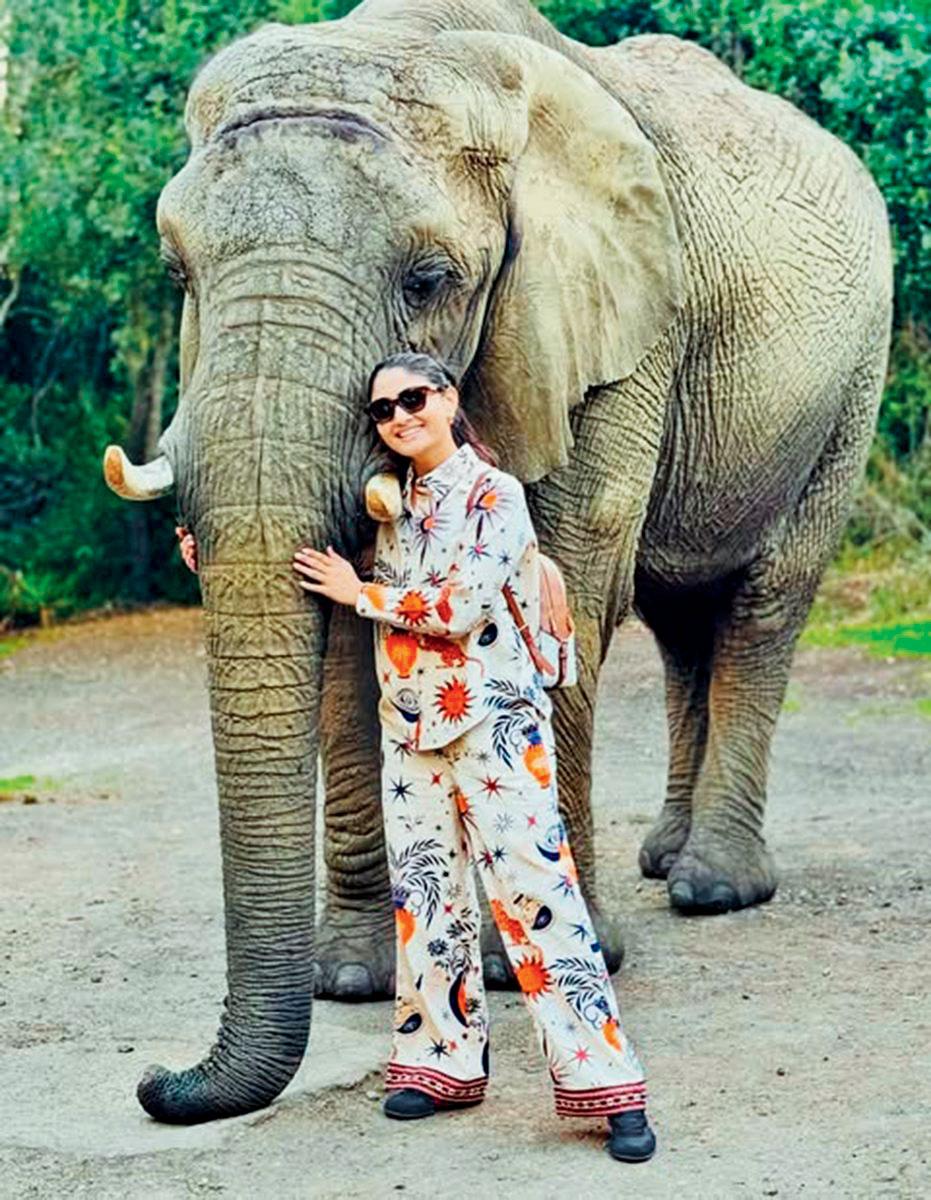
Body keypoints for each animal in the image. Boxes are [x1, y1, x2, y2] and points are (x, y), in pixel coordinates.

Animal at [102, 0, 892, 1124]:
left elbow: (562, 581)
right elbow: (351, 628)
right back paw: (665, 858)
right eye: (178, 273)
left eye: (428, 281)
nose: (155, 1083)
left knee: (763, 602)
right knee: (683, 618)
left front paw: (547, 958)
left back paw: (712, 887)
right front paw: (350, 978)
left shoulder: (613, 328)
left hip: (851, 381)